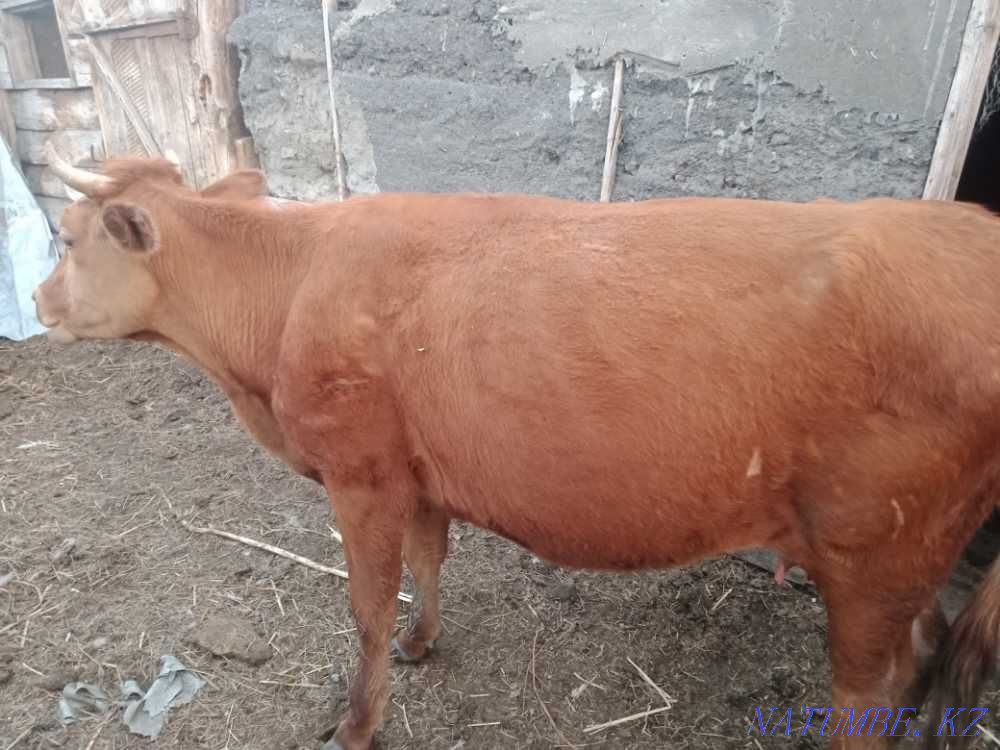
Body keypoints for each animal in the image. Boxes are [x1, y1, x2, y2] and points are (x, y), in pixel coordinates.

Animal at [33, 143, 1000, 750]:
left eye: (66, 238)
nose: (38, 302)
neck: (290, 287)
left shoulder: (360, 472)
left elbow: (365, 606)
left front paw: (357, 723)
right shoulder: (417, 473)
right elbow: (428, 563)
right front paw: (423, 644)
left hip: (873, 553)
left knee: (869, 693)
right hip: (906, 555)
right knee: (929, 653)